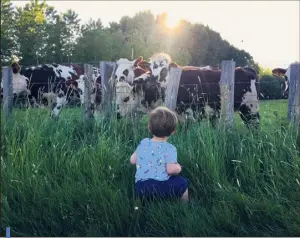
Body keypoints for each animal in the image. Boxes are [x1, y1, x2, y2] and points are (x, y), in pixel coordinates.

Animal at [115, 53, 260, 127]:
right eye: (151, 67)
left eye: (126, 98)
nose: (117, 115)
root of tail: (246, 68)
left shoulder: (192, 114)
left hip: (250, 106)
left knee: (255, 123)